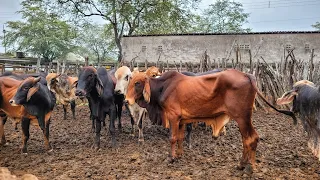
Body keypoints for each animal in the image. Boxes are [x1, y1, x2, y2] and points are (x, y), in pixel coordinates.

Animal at [126, 68, 296, 173]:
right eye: (130, 81)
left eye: (137, 83)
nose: (126, 100)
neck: (163, 87)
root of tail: (247, 75)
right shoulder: (181, 120)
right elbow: (180, 137)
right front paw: (179, 155)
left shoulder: (173, 117)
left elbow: (172, 138)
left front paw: (171, 158)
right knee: (247, 139)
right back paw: (242, 164)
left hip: (243, 117)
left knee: (251, 138)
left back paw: (248, 167)